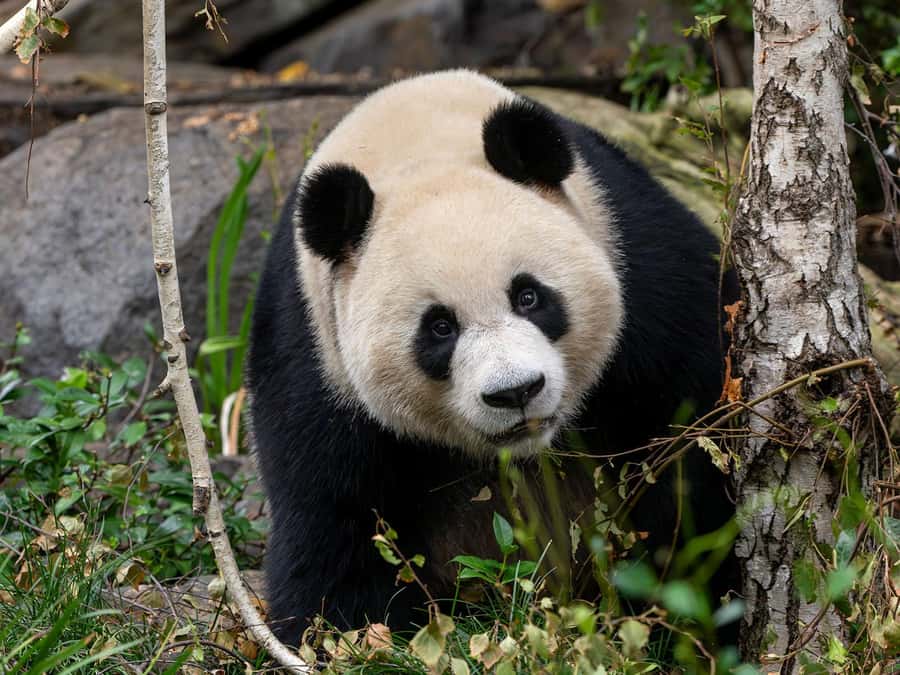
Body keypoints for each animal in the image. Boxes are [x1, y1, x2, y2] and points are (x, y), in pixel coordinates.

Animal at [246, 70, 738, 643]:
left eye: (528, 296)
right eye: (439, 328)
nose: (516, 392)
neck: (414, 146)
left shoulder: (637, 258)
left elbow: (690, 443)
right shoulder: (313, 353)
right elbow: (332, 518)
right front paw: (354, 637)